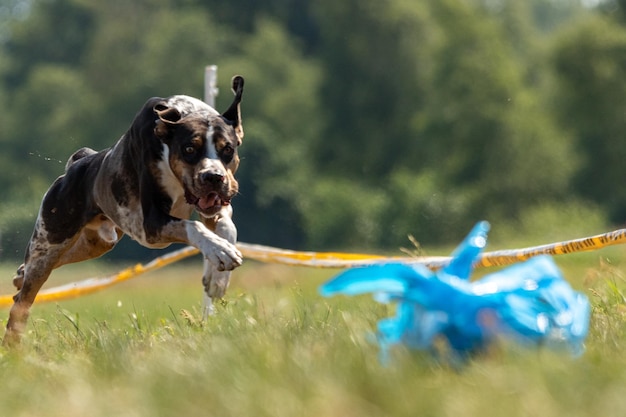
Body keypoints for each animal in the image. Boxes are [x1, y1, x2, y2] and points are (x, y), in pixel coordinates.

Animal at [3, 75, 245, 344]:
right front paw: (220, 252)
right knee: (22, 301)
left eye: (228, 149)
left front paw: (217, 276)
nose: (213, 176)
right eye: (190, 149)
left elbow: (227, 227)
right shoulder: (153, 224)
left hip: (96, 242)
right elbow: (194, 226)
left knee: (57, 261)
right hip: (50, 241)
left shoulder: (214, 207)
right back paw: (13, 341)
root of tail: (79, 162)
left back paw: (20, 274)